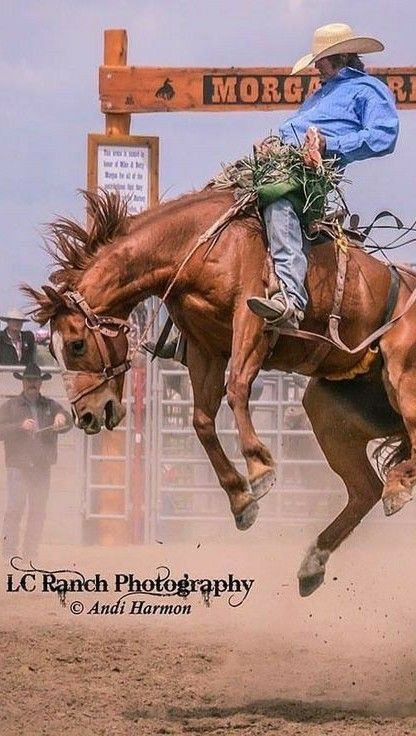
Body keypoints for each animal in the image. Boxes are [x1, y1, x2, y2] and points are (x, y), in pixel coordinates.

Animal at [23, 187, 416, 596]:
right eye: (53, 349)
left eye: (77, 344)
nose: (86, 414)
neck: (196, 246)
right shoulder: (205, 347)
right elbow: (201, 421)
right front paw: (241, 501)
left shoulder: (252, 320)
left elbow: (238, 388)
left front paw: (259, 468)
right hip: (327, 410)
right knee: (364, 488)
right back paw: (315, 560)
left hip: (404, 380)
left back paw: (397, 485)